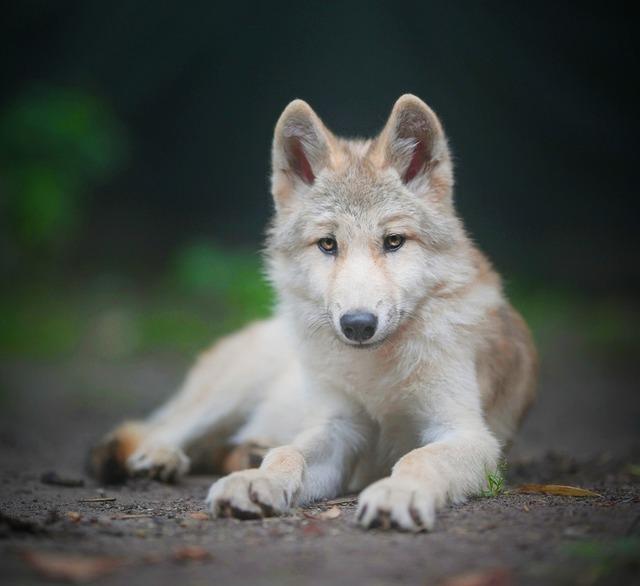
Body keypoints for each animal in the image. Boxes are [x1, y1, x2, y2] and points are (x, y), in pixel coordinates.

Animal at [90, 94, 536, 528]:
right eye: (327, 244)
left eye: (393, 241)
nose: (358, 325)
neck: (376, 373)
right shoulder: (337, 427)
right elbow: (288, 453)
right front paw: (257, 481)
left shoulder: (468, 433)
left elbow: (418, 458)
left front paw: (397, 493)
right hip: (227, 394)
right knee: (158, 429)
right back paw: (161, 458)